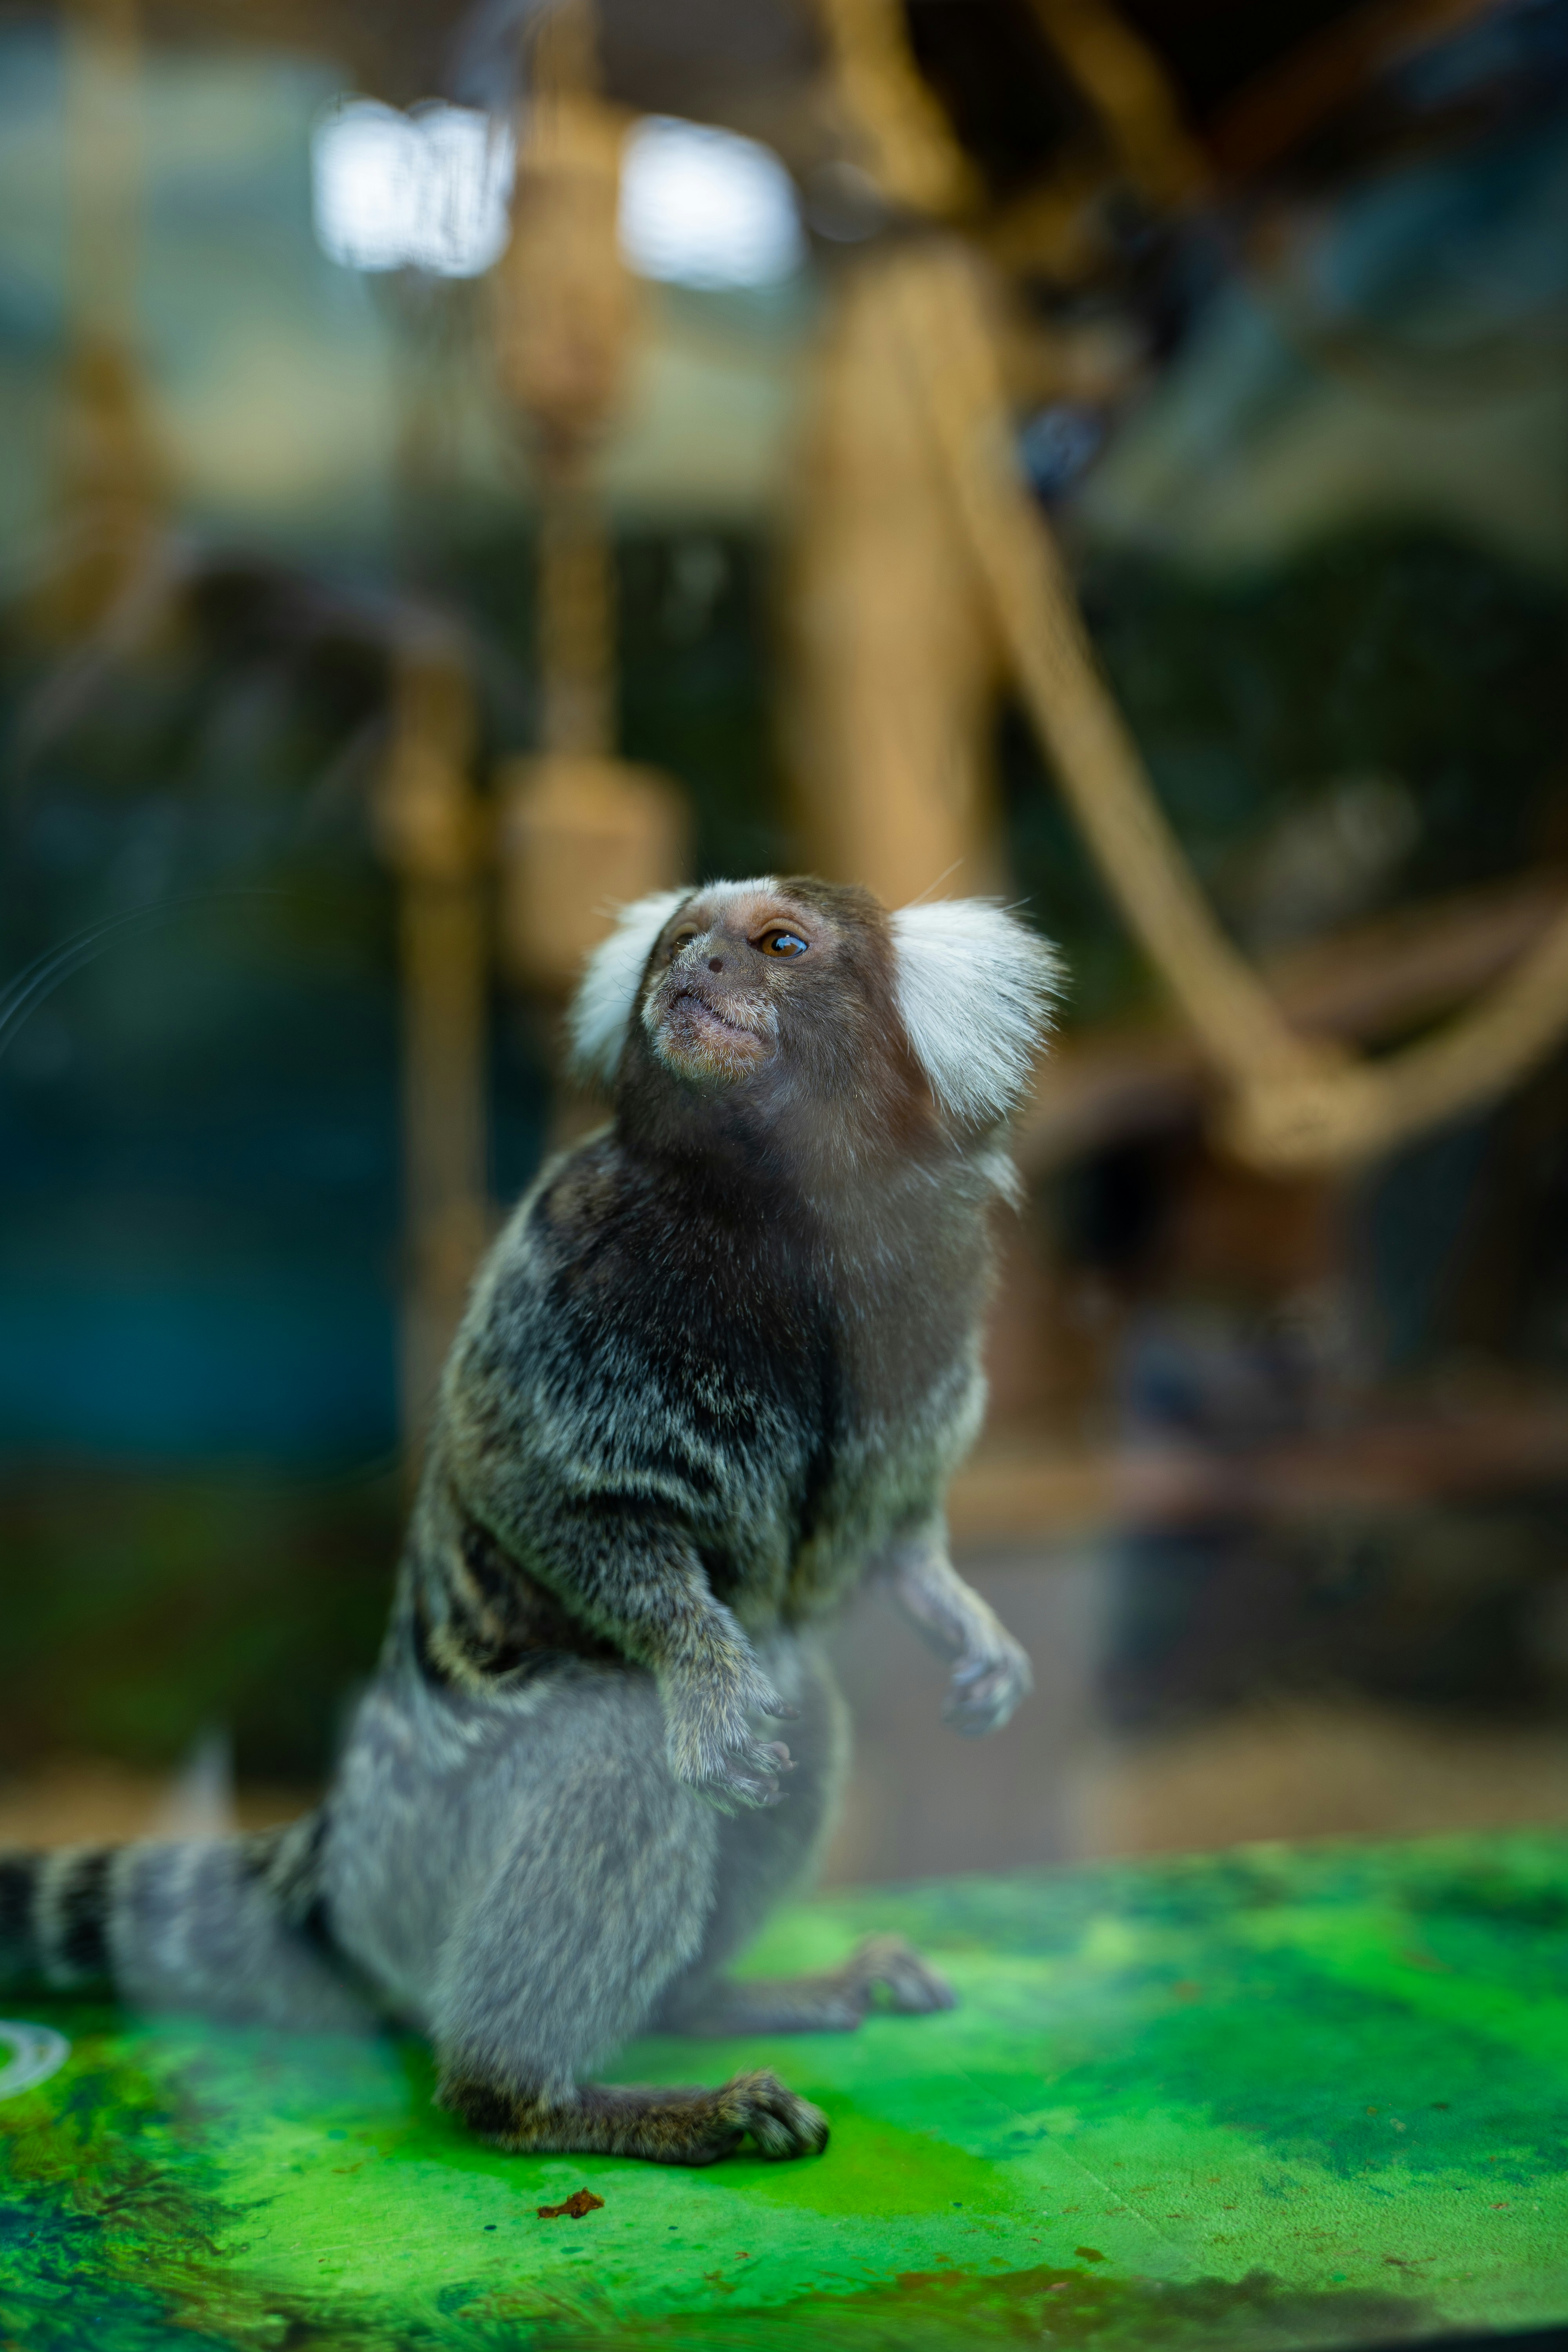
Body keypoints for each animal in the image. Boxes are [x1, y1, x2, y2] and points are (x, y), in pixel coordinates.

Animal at [0, 877, 1058, 2166]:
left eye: (779, 945)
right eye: (681, 940)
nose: (697, 966)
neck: (783, 1222)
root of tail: (341, 1861)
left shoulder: (932, 1296)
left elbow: (891, 1531)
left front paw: (957, 1619)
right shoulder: (571, 1258)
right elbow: (542, 1493)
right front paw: (701, 1675)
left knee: (801, 1709)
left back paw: (714, 1999)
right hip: (425, 1872)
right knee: (625, 1757)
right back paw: (571, 2100)